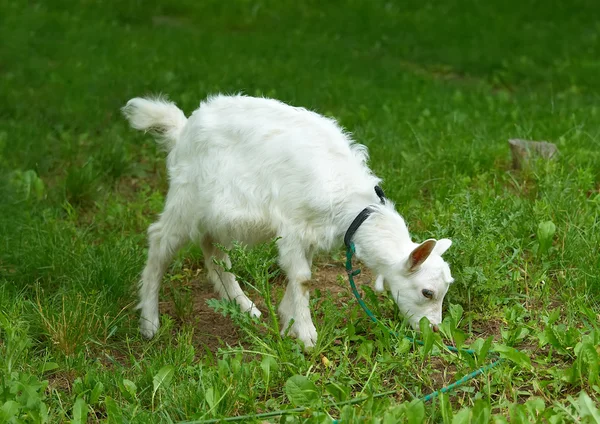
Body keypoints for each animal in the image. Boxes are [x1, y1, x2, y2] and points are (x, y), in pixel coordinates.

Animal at [122, 95, 452, 348]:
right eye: (427, 292)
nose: (435, 330)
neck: (352, 206)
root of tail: (182, 130)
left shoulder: (309, 233)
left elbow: (300, 276)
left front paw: (289, 320)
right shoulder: (292, 226)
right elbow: (304, 278)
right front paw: (306, 335)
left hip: (217, 213)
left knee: (214, 253)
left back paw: (245, 306)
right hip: (186, 198)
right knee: (160, 241)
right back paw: (149, 322)